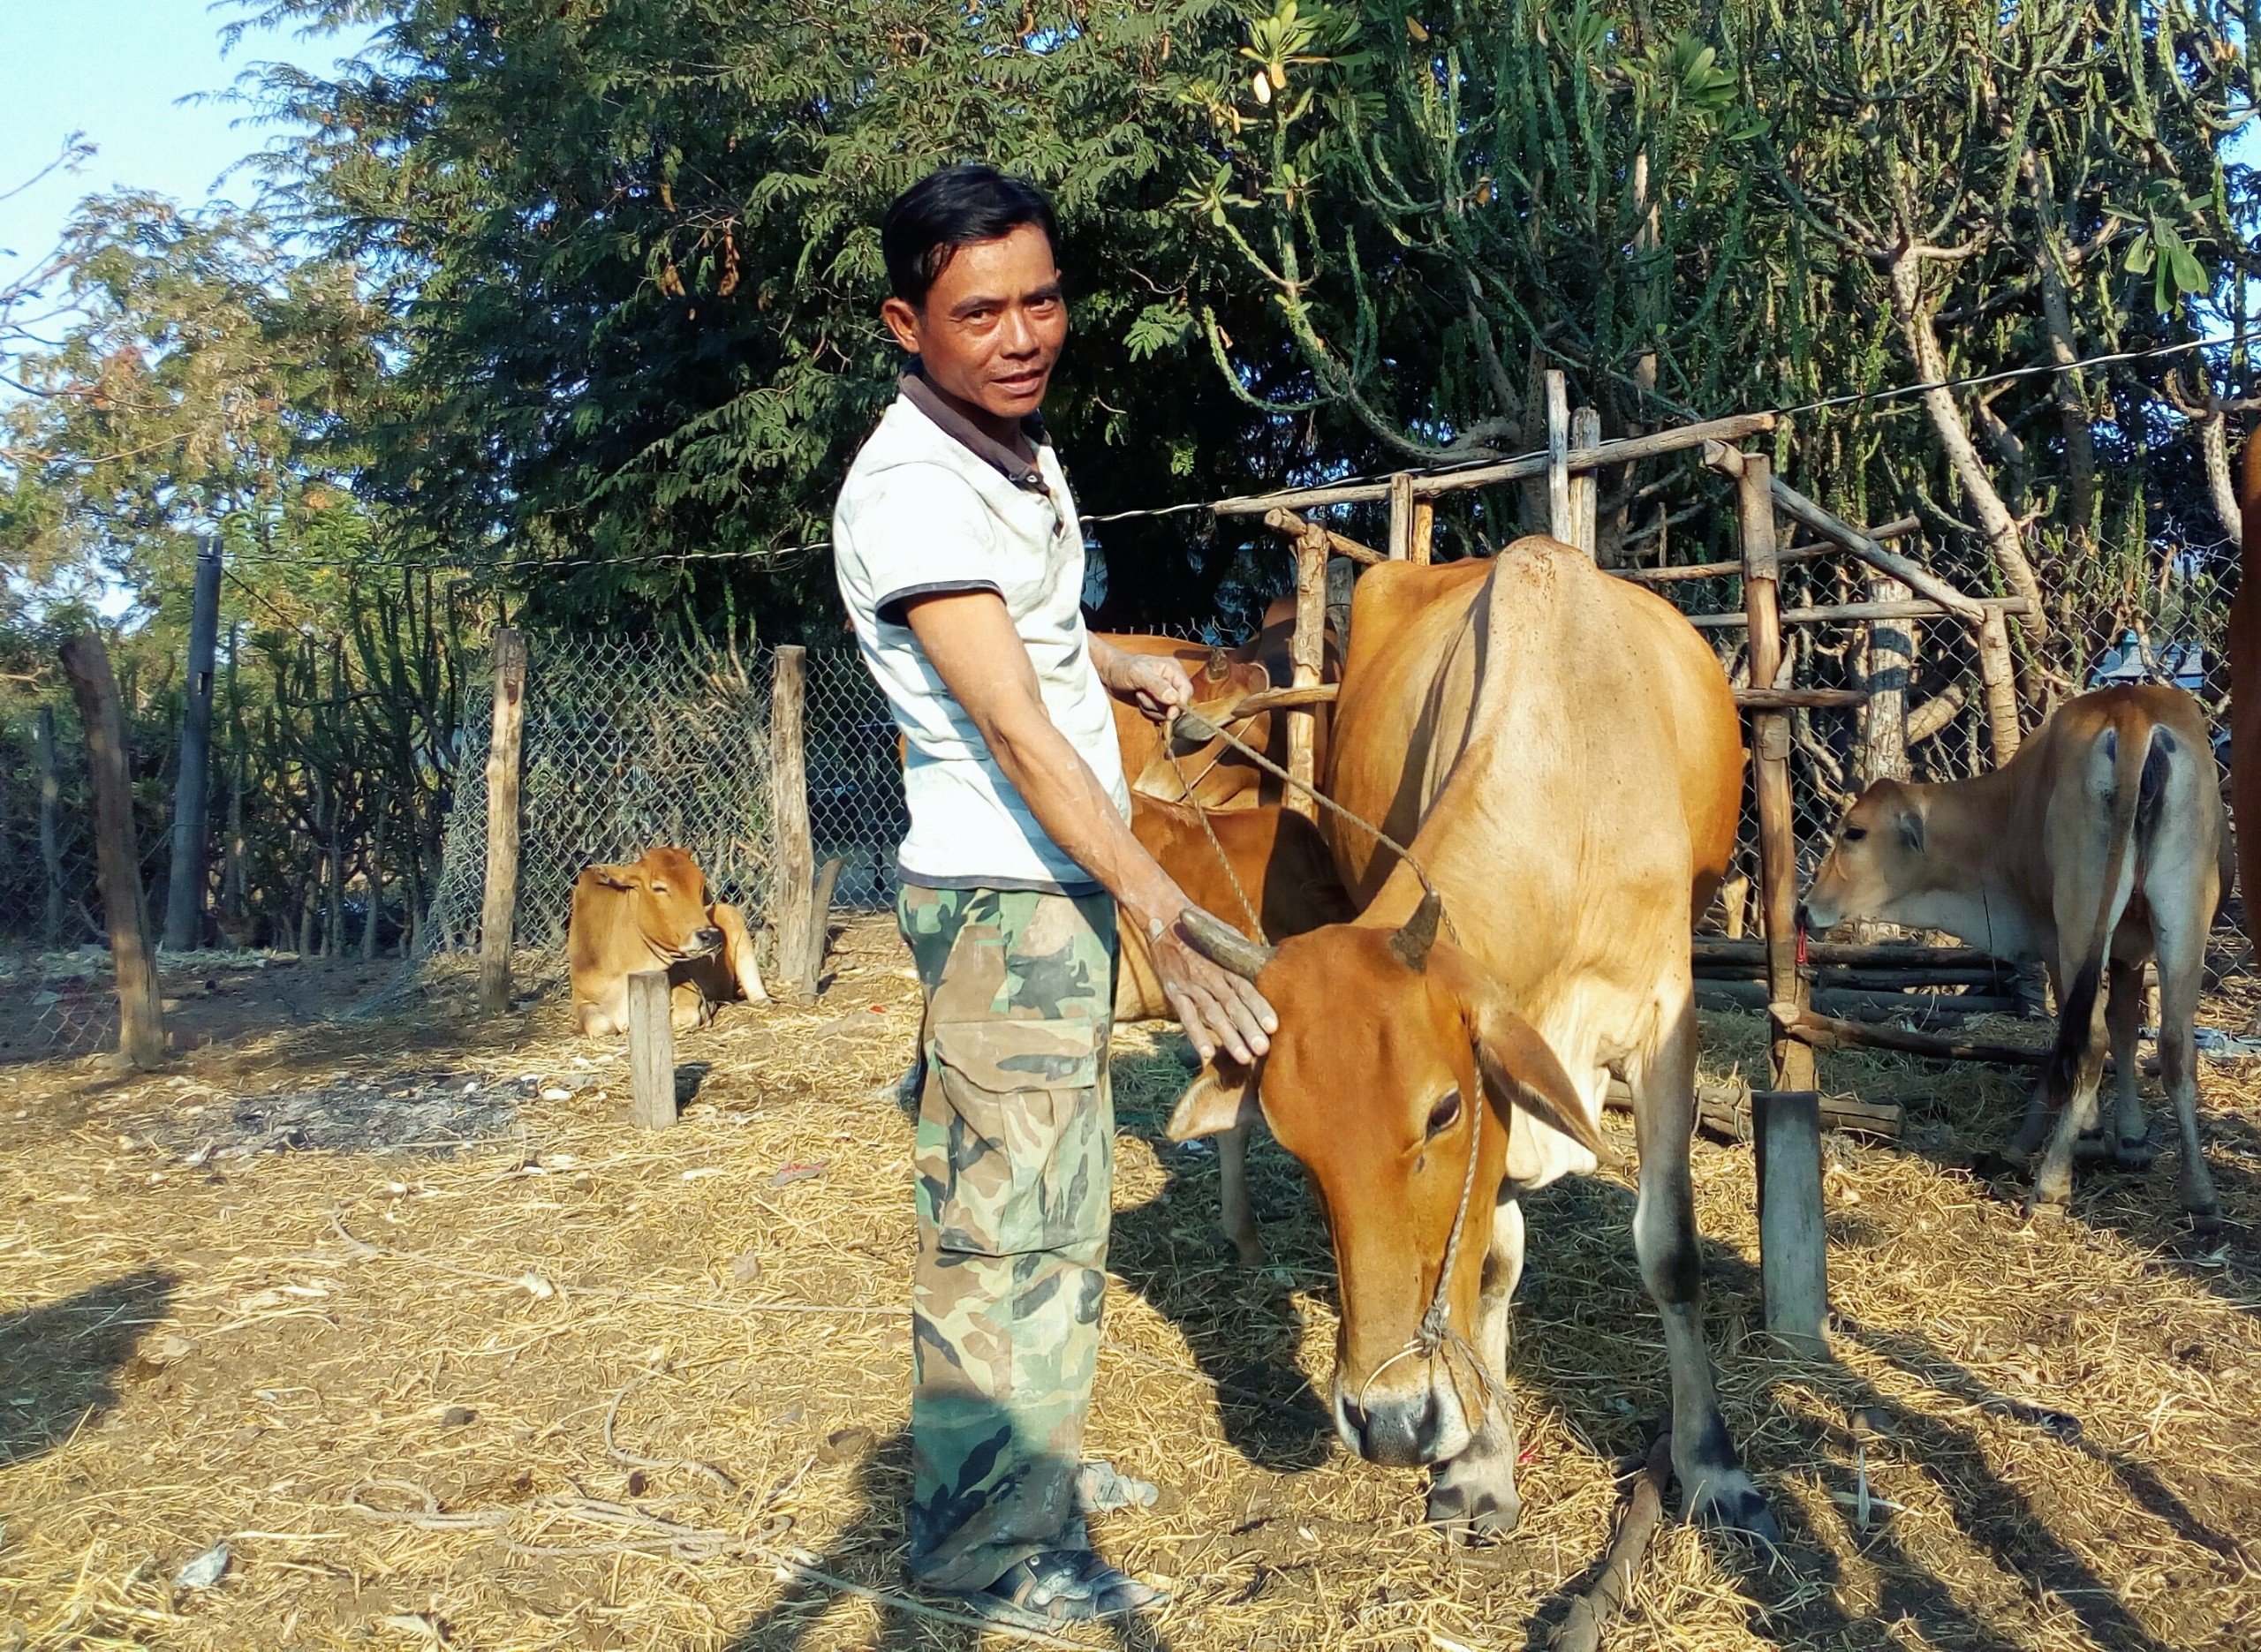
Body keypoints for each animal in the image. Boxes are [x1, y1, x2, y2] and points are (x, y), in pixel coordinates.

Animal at [565, 854, 768, 1035]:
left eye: (701, 886)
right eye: (659, 888)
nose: (711, 936)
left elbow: (682, 1015)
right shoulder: (581, 999)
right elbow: (600, 1025)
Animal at [1166, 548, 1781, 1545]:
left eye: (1442, 1109)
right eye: (1296, 1145)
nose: (1388, 1420)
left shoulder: (1664, 1022)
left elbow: (1671, 1250)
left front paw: (1712, 1463)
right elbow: (1491, 1262)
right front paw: (1482, 1464)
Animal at [1799, 687, 2225, 1229]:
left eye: (1854, 832)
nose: (1806, 908)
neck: (2006, 808)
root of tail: (2130, 709)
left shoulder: (2051, 937)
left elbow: (2085, 1036)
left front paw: (2086, 1136)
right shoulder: (2129, 951)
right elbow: (2129, 1031)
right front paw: (2129, 1139)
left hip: (2081, 917)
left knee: (2090, 1039)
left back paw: (2050, 1187)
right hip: (2183, 915)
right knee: (2175, 1044)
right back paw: (2200, 1195)